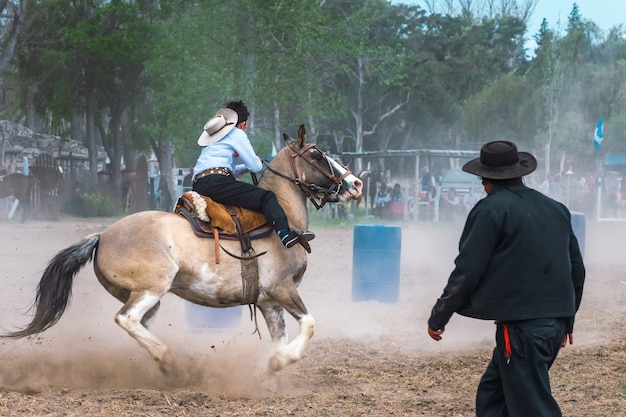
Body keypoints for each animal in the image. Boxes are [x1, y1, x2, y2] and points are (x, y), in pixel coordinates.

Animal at [1, 125, 360, 382]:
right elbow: (309, 325)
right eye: (316, 154)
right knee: (125, 319)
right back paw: (171, 362)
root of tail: (102, 236)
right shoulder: (283, 290)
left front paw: (266, 372)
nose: (355, 184)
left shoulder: (269, 302)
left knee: (140, 325)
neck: (279, 220)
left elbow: (280, 339)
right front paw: (276, 363)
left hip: (146, 297)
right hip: (151, 287)